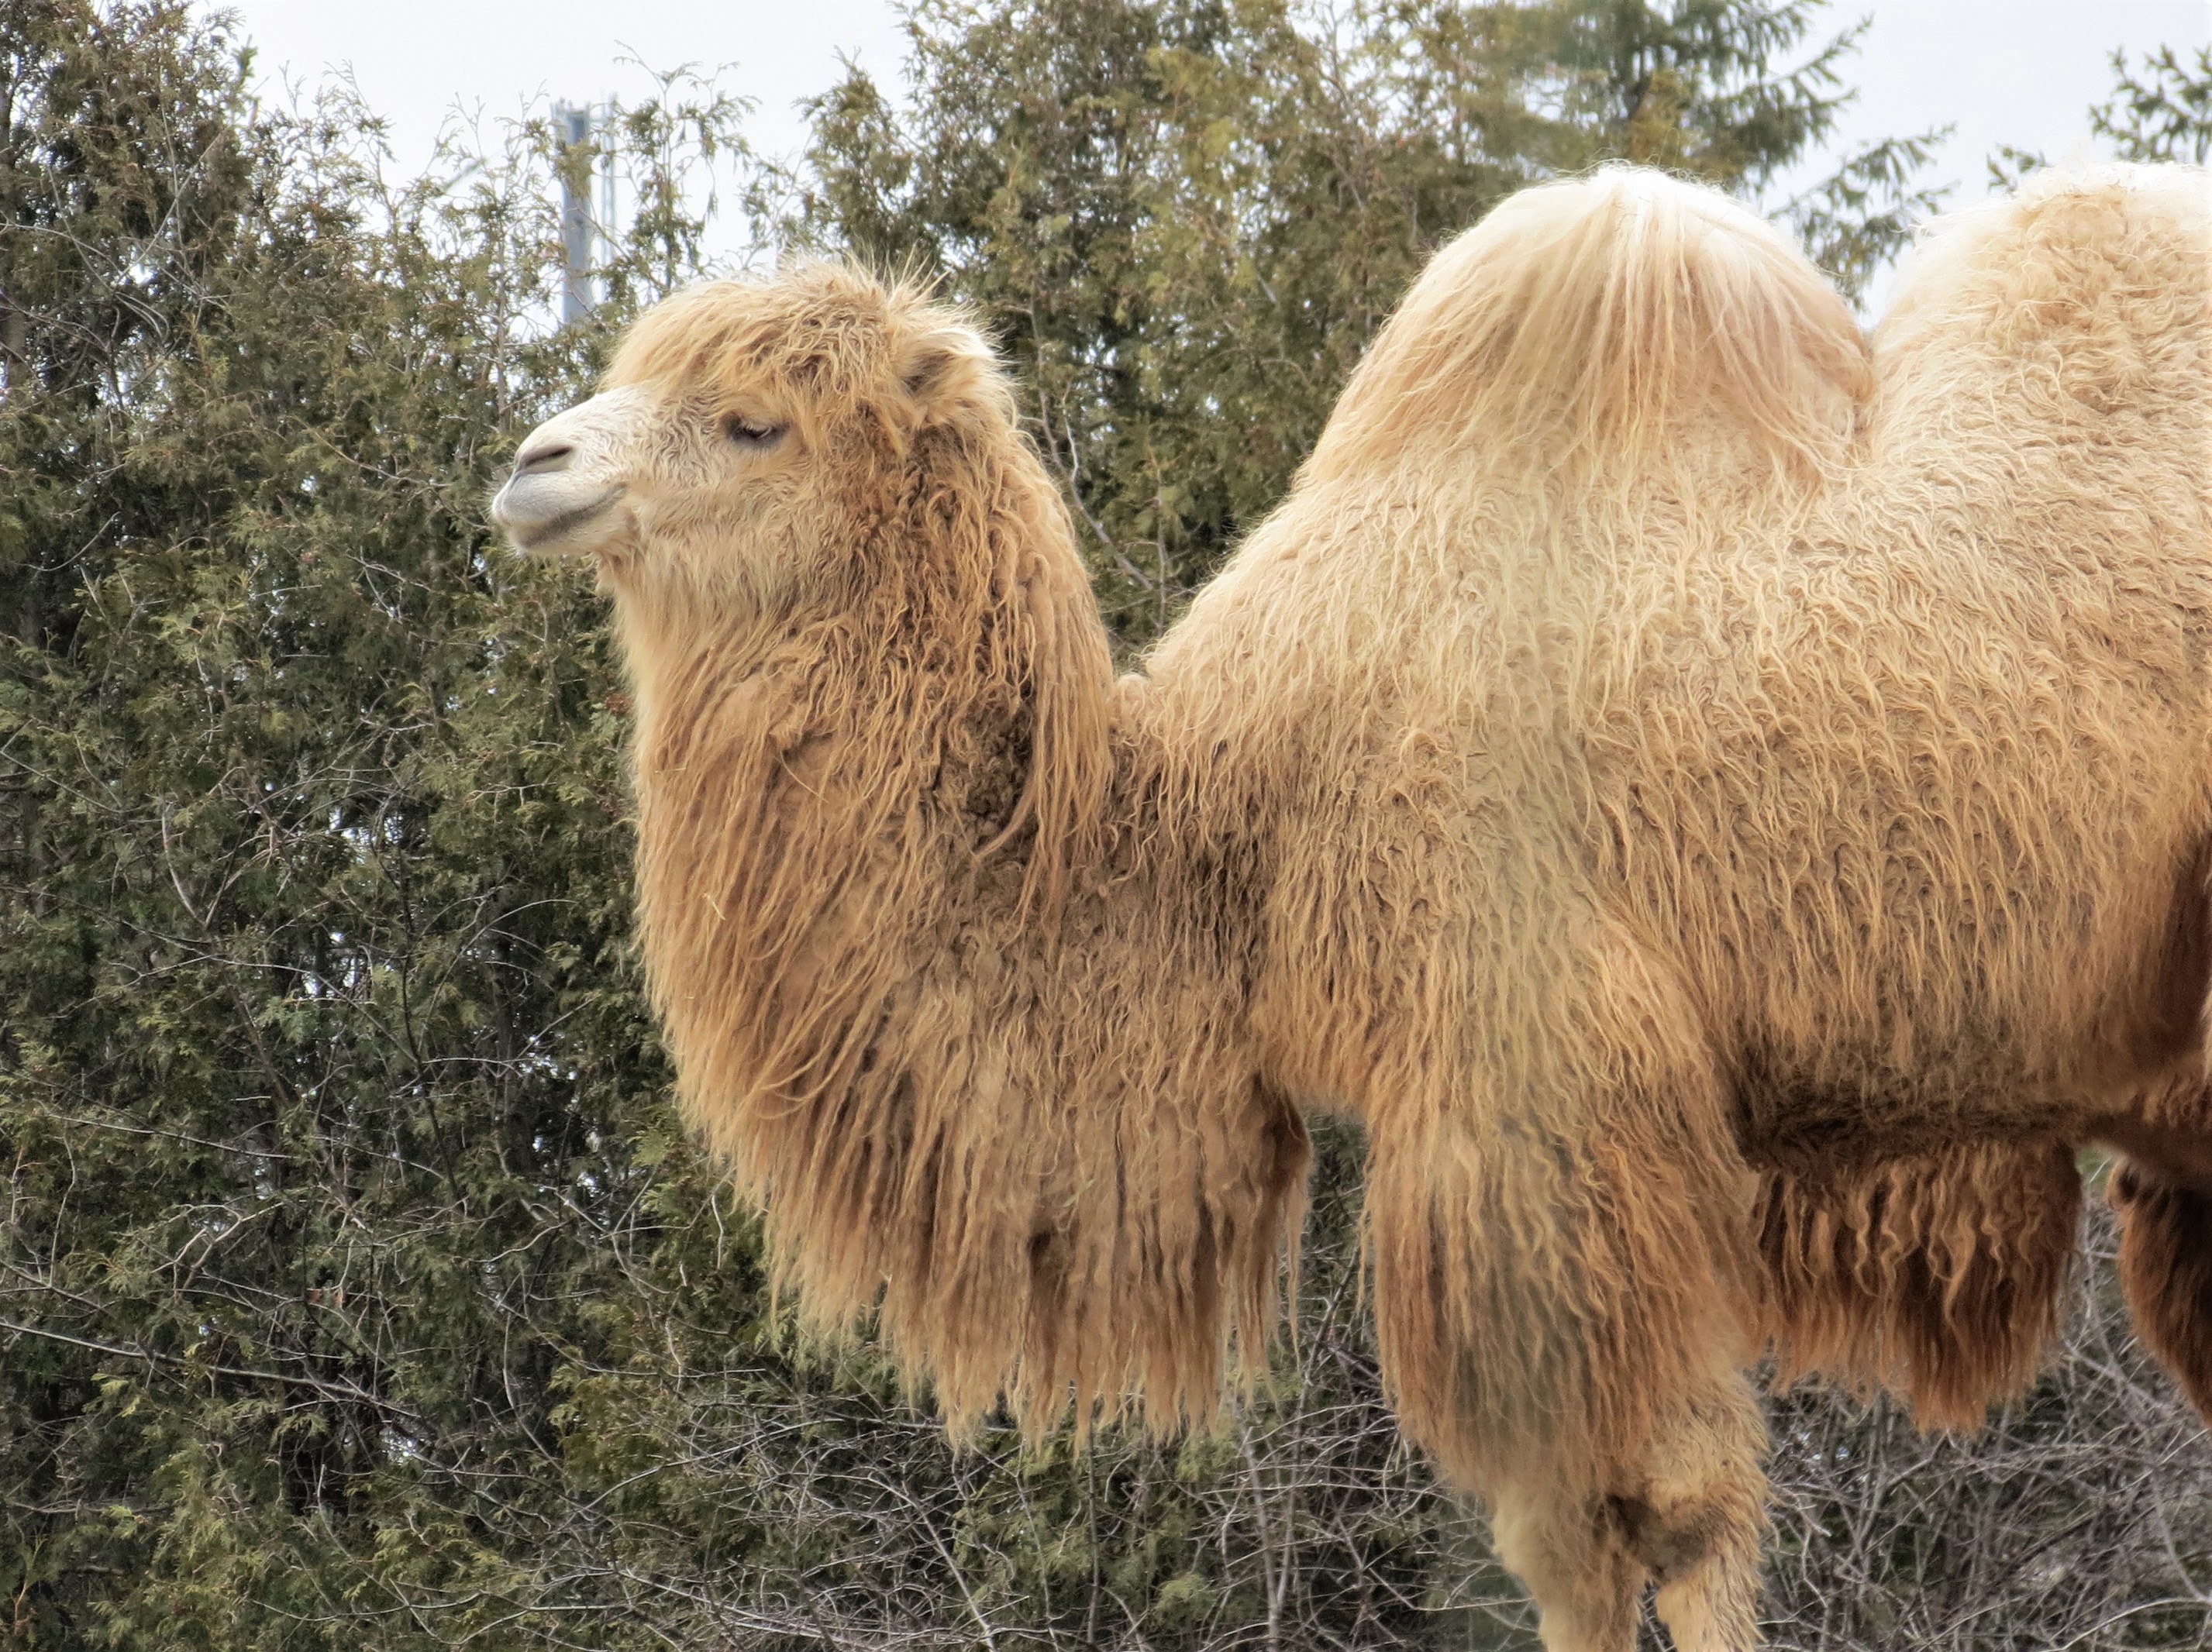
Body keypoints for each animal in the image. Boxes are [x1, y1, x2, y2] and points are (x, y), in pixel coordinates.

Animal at [490, 163, 2212, 1651]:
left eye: (753, 421)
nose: (533, 466)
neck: (1224, 826)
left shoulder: (1541, 1095)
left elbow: (1646, 1518)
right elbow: (1598, 1529)